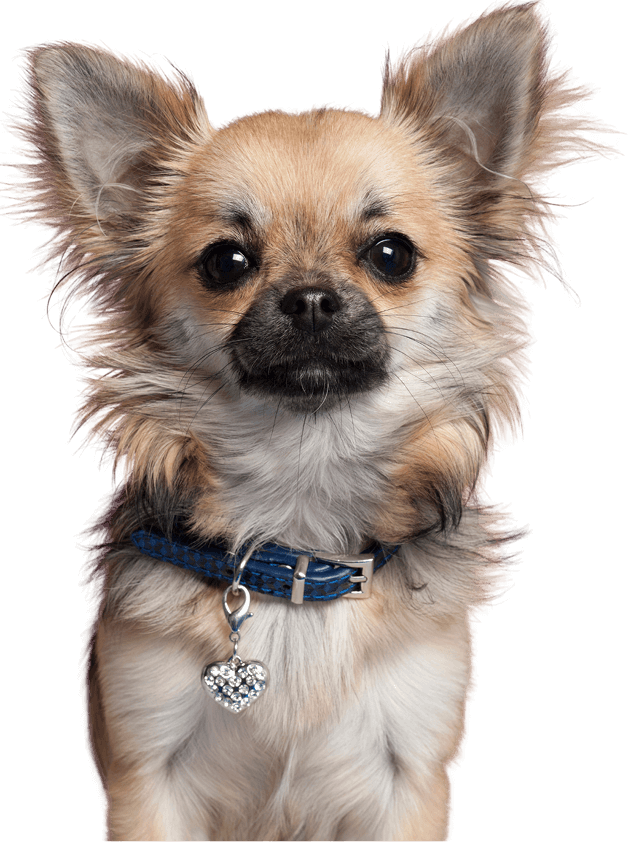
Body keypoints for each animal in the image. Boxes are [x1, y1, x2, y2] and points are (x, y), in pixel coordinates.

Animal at [3, 1, 620, 839]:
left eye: (391, 254)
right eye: (225, 262)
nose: (311, 298)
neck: (301, 500)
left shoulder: (411, 772)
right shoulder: (144, 769)